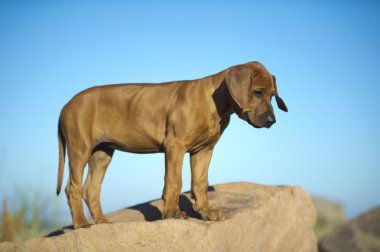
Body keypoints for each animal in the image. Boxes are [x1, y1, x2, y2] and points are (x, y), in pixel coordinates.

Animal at [57, 61, 288, 228]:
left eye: (272, 96)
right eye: (258, 92)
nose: (272, 121)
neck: (215, 103)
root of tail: (65, 106)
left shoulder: (203, 151)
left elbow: (200, 183)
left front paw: (207, 212)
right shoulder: (175, 145)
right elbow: (174, 181)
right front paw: (172, 213)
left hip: (102, 153)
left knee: (91, 189)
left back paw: (102, 223)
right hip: (80, 148)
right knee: (73, 188)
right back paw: (81, 224)